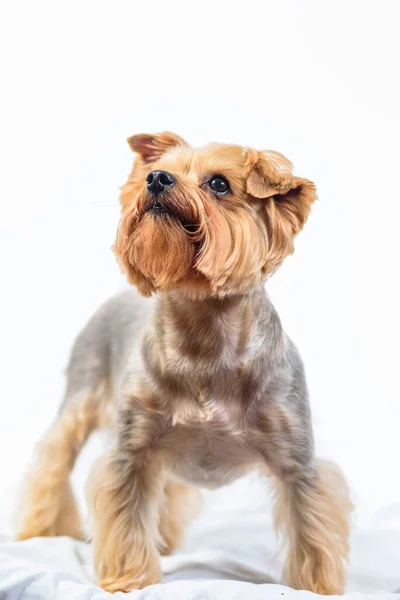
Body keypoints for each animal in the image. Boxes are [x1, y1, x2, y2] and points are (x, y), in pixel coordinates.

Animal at [17, 132, 352, 596]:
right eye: (160, 172)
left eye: (219, 184)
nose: (156, 178)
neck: (203, 329)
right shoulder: (133, 453)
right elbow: (127, 519)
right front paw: (128, 580)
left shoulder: (296, 460)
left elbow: (311, 526)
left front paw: (317, 588)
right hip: (81, 390)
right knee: (53, 461)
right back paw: (40, 531)